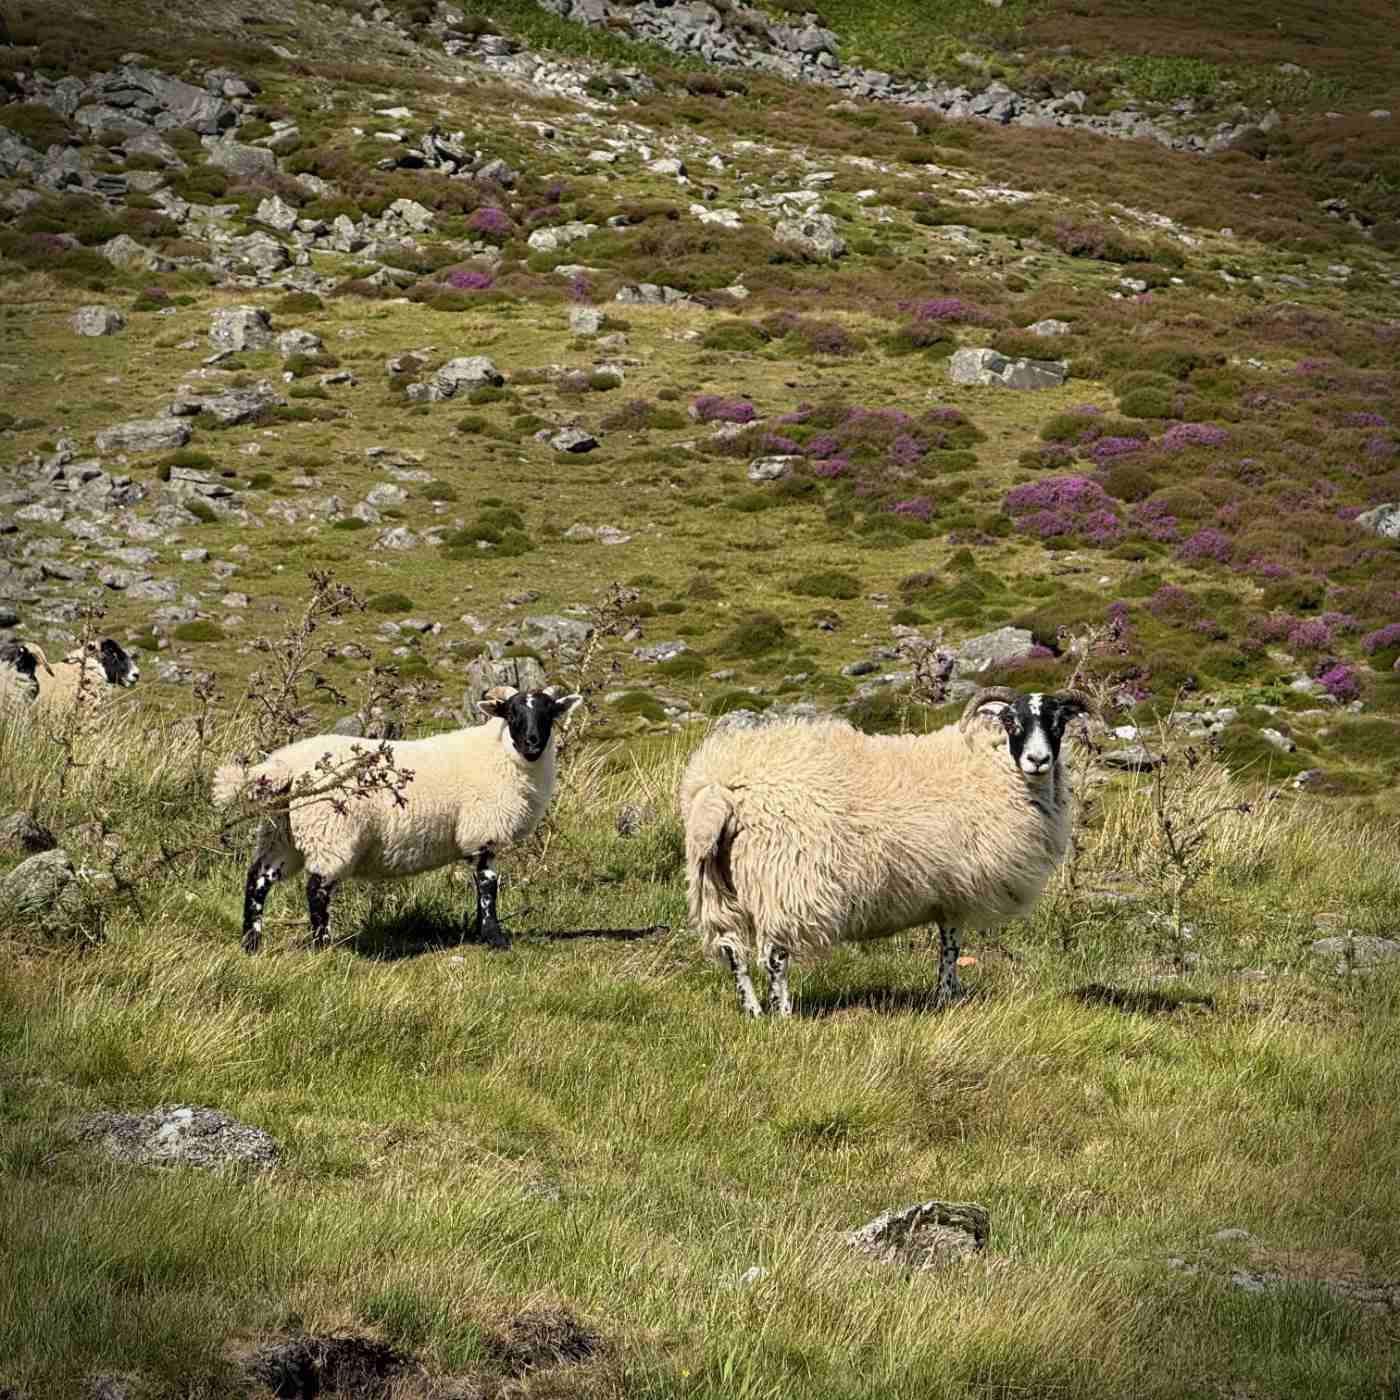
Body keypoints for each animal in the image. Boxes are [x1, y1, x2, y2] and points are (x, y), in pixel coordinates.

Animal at [211, 684, 583, 953]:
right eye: (513, 714)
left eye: (548, 714)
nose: (532, 743)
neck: (499, 754)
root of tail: (284, 765)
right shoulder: (483, 829)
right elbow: (488, 883)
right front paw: (495, 938)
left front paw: (487, 935)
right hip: (330, 830)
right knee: (316, 888)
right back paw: (322, 945)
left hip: (282, 831)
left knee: (259, 879)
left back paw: (251, 943)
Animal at [679, 686, 1092, 1017]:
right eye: (1011, 721)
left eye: (1059, 722)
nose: (1038, 760)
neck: (990, 767)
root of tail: (722, 789)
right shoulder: (958, 890)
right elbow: (951, 947)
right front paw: (946, 997)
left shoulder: (949, 891)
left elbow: (949, 946)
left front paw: (951, 995)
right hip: (786, 880)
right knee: (774, 957)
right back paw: (783, 1014)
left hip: (715, 884)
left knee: (732, 952)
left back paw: (753, 1012)